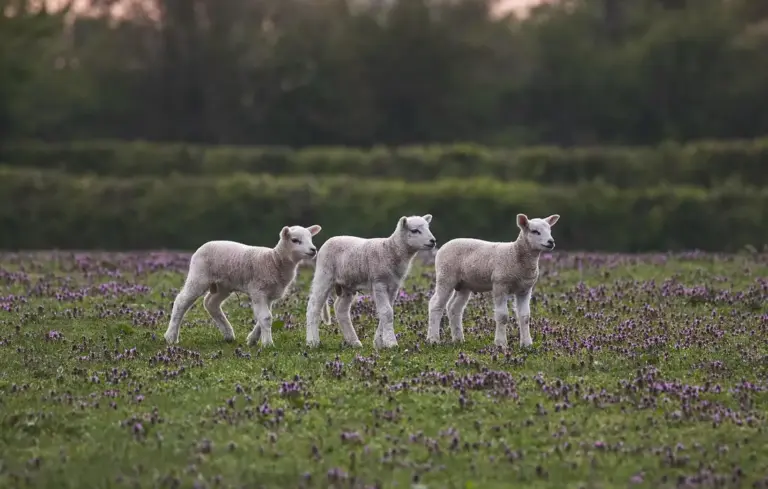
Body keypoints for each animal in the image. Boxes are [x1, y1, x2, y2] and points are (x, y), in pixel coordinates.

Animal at [163, 224, 322, 347]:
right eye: (295, 240)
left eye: (311, 238)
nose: (313, 250)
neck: (274, 260)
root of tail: (203, 245)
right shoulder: (258, 290)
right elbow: (266, 317)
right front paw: (268, 344)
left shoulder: (269, 295)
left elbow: (263, 317)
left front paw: (252, 339)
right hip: (199, 276)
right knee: (181, 301)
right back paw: (171, 336)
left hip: (223, 285)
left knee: (210, 303)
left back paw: (228, 334)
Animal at [305, 215, 436, 349]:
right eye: (414, 230)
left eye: (428, 227)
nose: (433, 241)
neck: (390, 250)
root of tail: (330, 240)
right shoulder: (379, 283)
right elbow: (387, 312)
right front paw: (391, 343)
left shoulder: (393, 287)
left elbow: (387, 311)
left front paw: (379, 342)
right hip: (324, 275)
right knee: (313, 307)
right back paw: (312, 342)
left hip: (348, 285)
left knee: (340, 309)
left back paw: (354, 342)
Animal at [426, 213, 559, 348]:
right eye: (535, 231)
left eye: (550, 230)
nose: (551, 242)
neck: (515, 254)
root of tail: (444, 245)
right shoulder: (500, 284)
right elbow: (503, 316)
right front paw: (501, 344)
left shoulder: (525, 289)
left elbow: (525, 317)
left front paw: (527, 344)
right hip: (445, 276)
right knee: (436, 305)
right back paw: (433, 339)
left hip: (464, 284)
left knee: (454, 308)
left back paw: (458, 339)